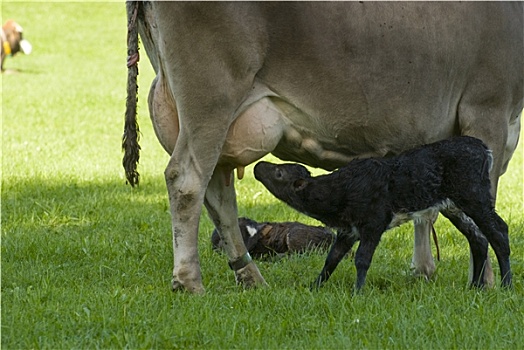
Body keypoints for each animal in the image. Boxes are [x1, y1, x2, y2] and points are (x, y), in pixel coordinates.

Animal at [254, 135, 512, 292]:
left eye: (278, 173)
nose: (257, 166)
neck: (336, 193)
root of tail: (484, 149)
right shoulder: (348, 230)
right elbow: (332, 258)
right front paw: (314, 286)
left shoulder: (374, 222)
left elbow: (362, 258)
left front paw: (357, 292)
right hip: (455, 206)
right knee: (478, 238)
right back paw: (475, 287)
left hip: (474, 196)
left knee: (499, 231)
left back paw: (506, 284)